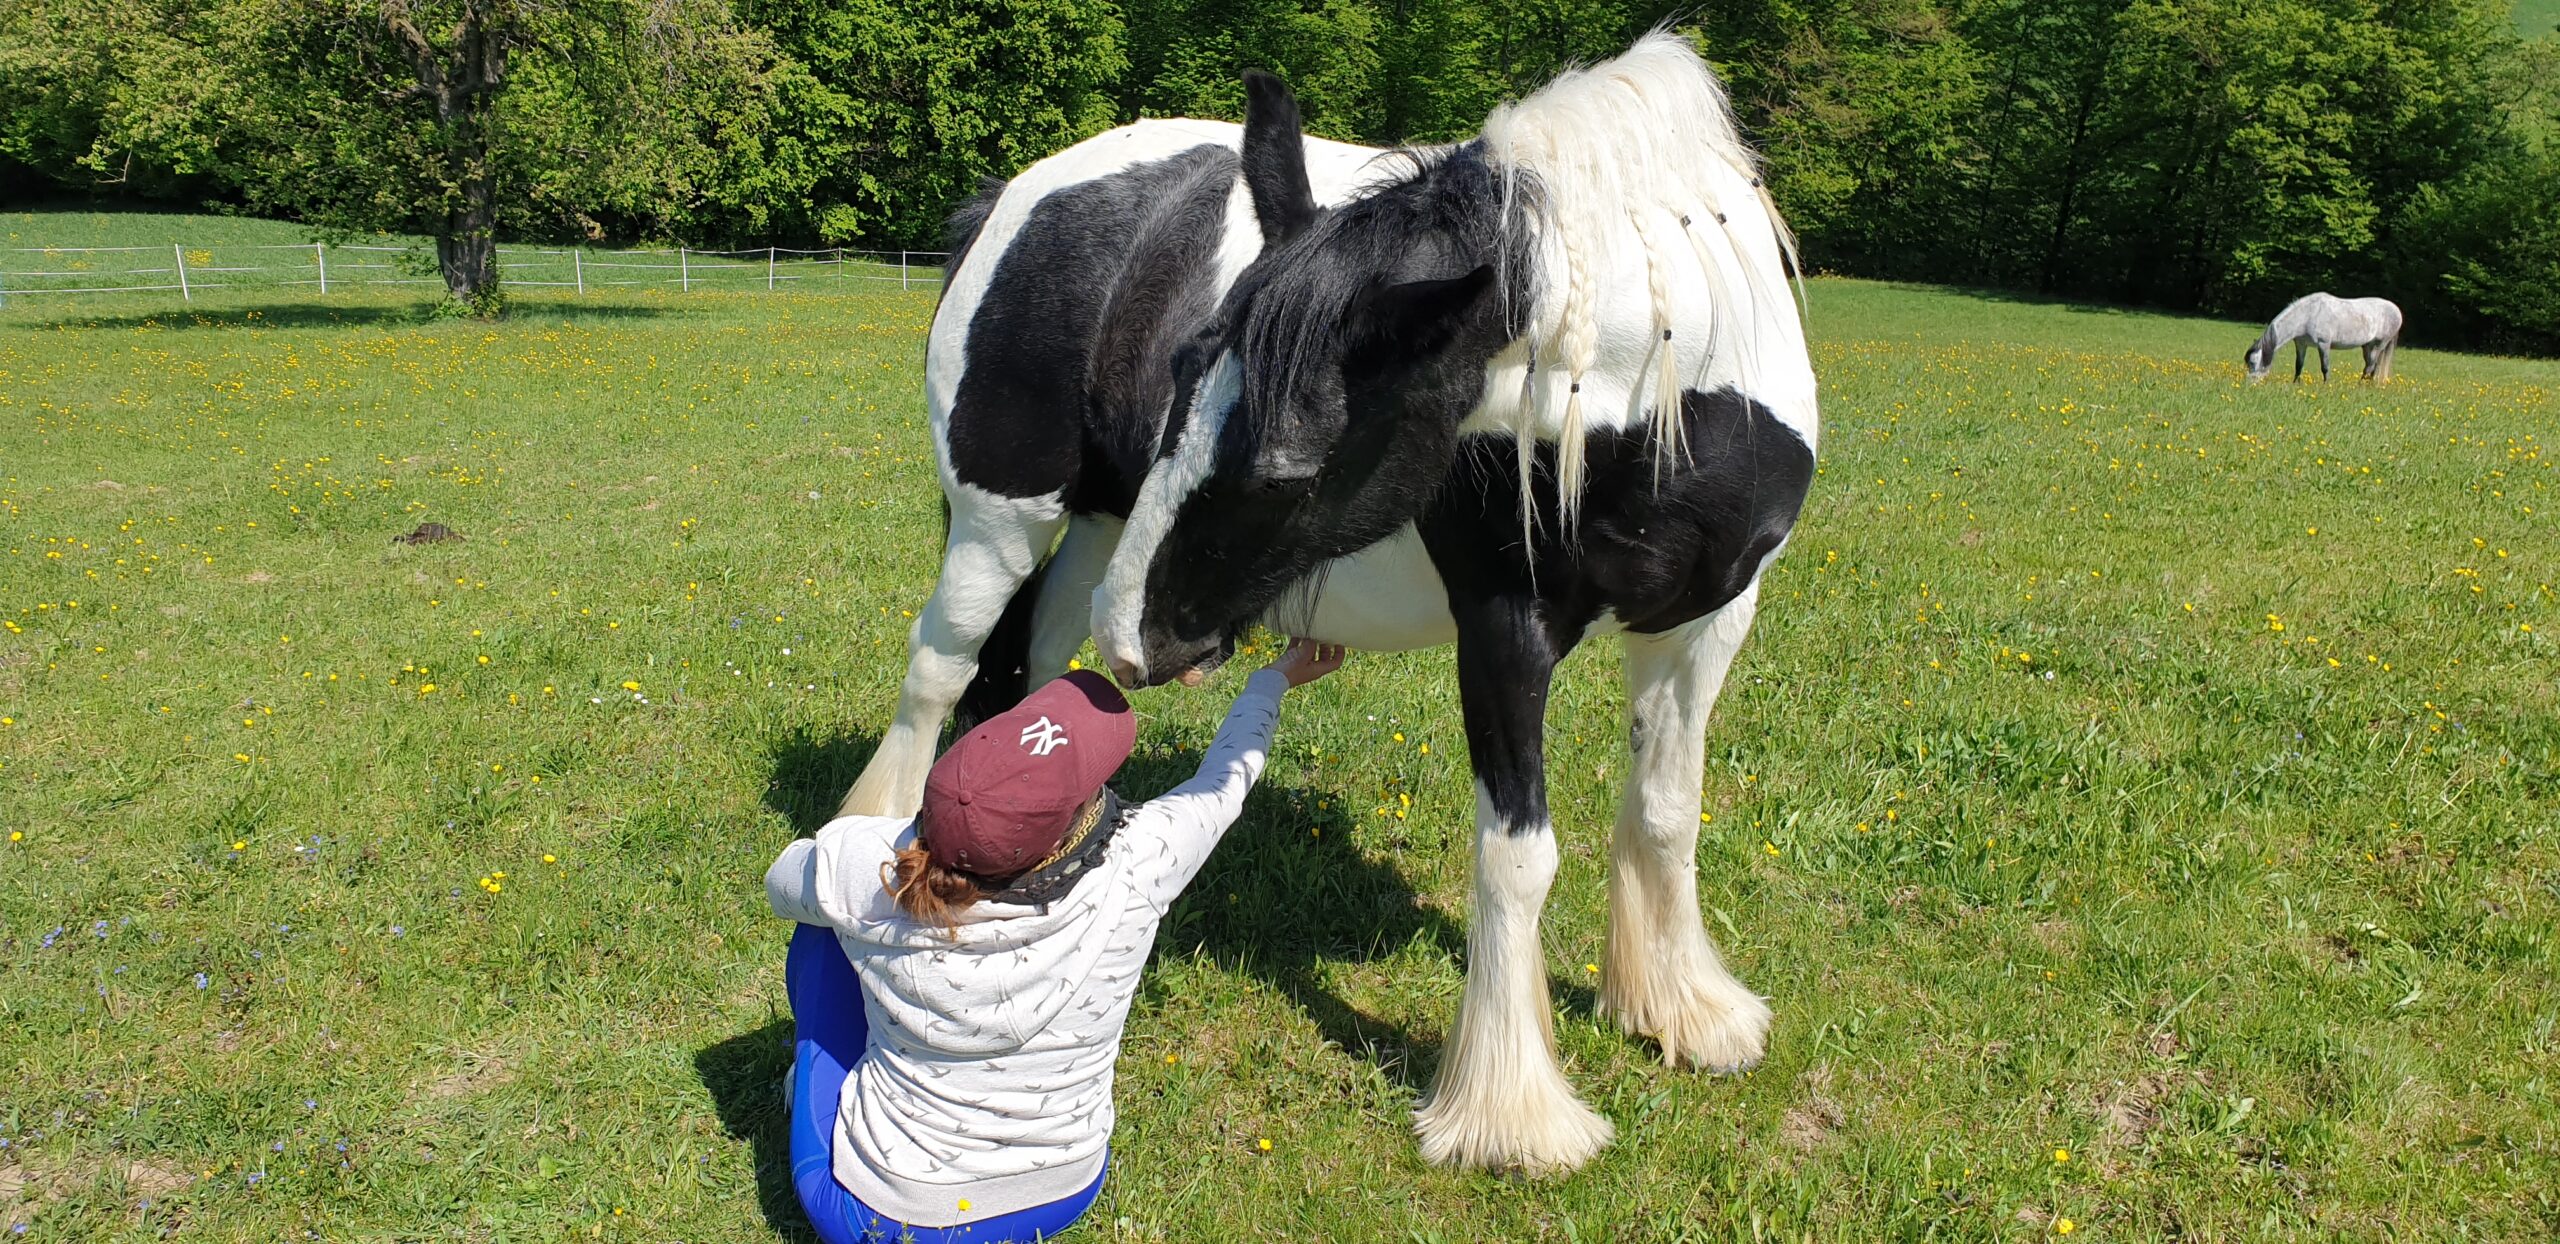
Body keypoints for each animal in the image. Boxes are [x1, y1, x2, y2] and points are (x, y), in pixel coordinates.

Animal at [842, 34, 1817, 1175]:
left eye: (1287, 462)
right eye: (1182, 374)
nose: (1136, 642)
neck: (1682, 393)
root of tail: (1017, 194)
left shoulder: (1707, 622)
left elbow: (1665, 811)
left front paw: (1684, 1013)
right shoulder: (1504, 633)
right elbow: (1517, 857)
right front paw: (1511, 1113)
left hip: (1092, 529)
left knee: (1029, 671)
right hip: (1000, 522)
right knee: (938, 671)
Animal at [2244, 293, 2403, 383]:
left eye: (2253, 363)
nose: (2249, 384)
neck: (2307, 315)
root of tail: (2397, 311)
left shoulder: (2323, 344)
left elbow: (2325, 367)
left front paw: (2326, 386)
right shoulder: (2301, 344)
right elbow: (2298, 365)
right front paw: (2295, 384)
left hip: (2380, 344)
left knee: (2370, 366)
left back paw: (2359, 386)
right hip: (2368, 346)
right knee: (2374, 366)